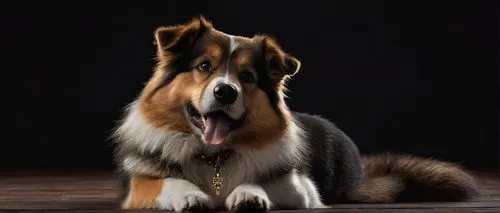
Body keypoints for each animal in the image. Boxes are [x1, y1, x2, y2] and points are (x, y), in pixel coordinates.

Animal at [111, 15, 478, 212]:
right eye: (203, 66)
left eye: (247, 77)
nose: (225, 91)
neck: (215, 154)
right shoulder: (139, 185)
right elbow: (167, 181)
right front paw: (190, 194)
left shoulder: (301, 187)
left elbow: (261, 179)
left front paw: (248, 193)